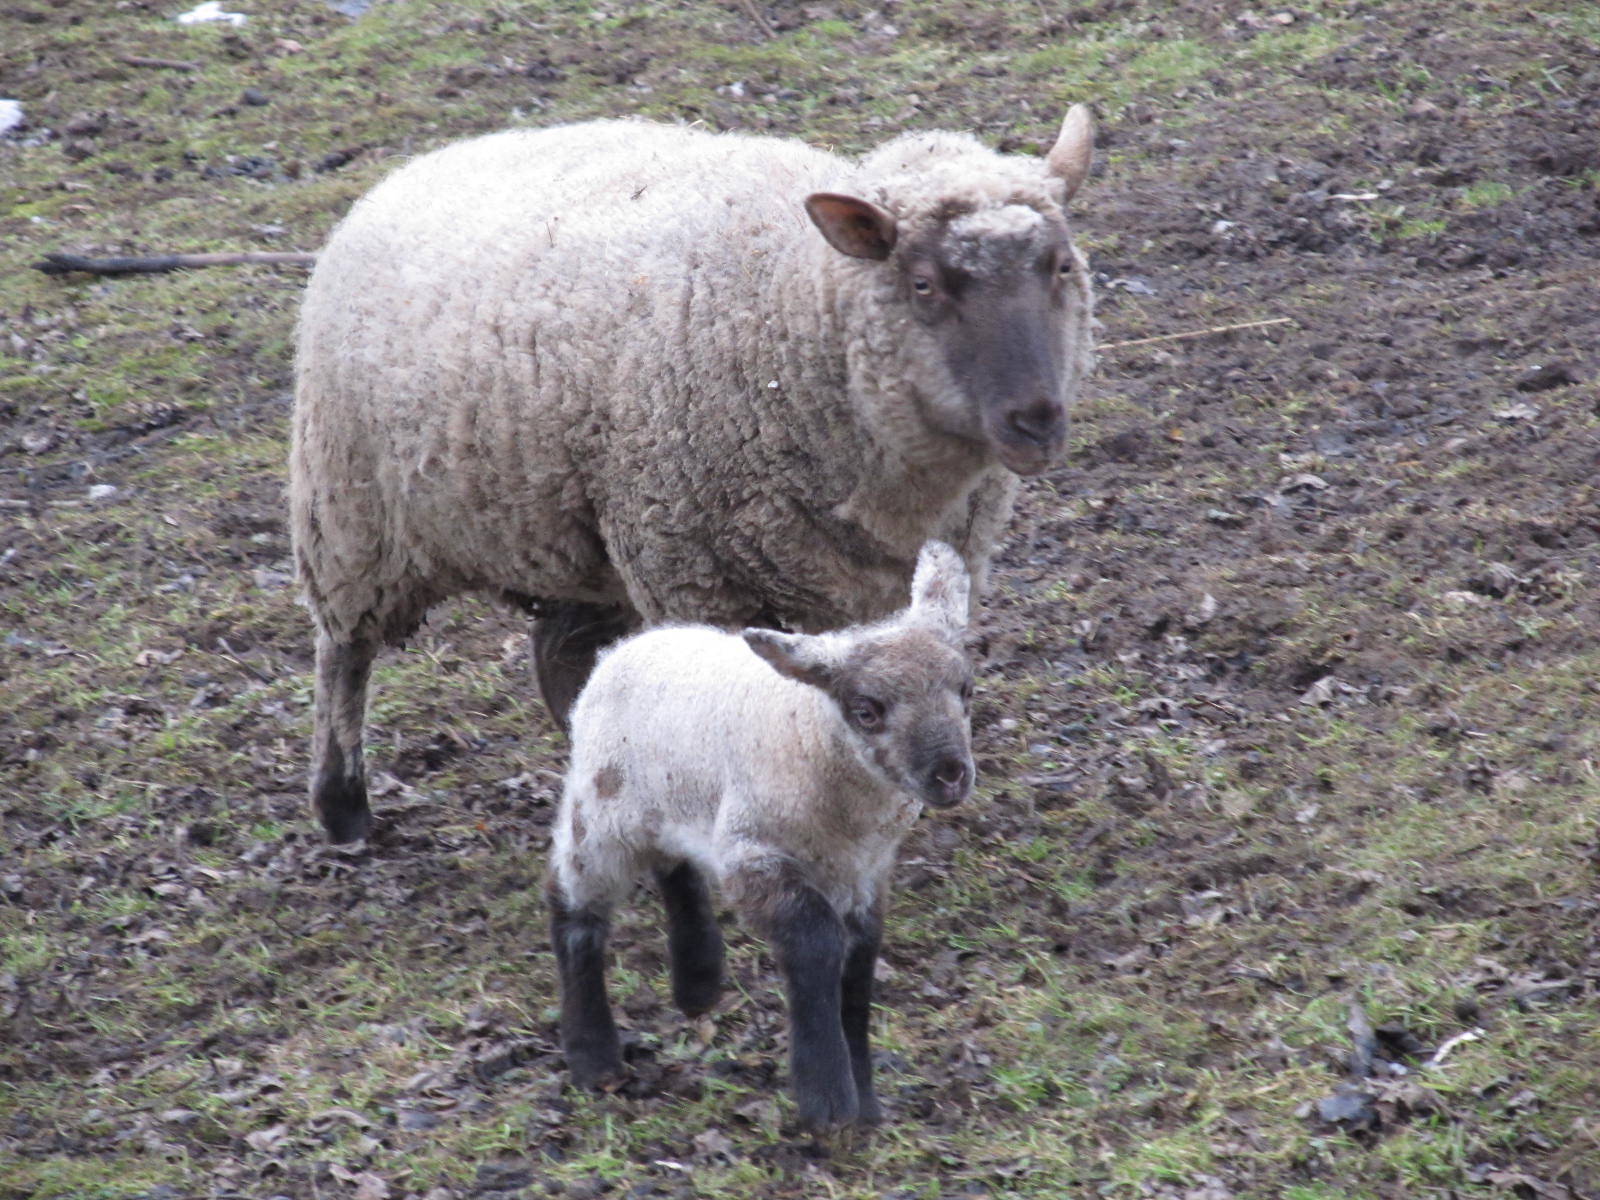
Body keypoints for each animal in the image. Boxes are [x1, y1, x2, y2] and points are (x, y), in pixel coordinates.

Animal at [288, 110, 1094, 844]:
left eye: (1061, 266)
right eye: (924, 284)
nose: (1036, 419)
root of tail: (418, 165)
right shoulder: (696, 575)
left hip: (581, 538)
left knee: (565, 654)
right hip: (351, 516)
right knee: (344, 654)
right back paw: (341, 806)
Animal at [547, 540, 972, 1132]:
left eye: (966, 690)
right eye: (866, 710)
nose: (951, 774)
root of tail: (628, 645)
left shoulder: (864, 873)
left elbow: (859, 968)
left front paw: (864, 1101)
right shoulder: (755, 854)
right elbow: (817, 944)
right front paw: (828, 1102)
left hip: (675, 800)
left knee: (674, 867)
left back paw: (698, 983)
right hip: (600, 808)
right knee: (574, 906)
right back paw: (594, 1057)